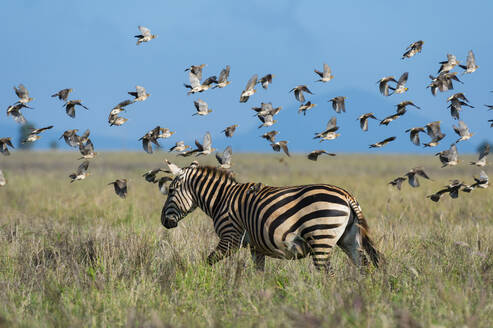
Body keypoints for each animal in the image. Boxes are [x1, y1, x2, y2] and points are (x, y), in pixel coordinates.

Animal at [161, 161, 380, 272]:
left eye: (171, 190)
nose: (163, 222)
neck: (222, 199)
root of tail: (347, 195)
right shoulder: (256, 246)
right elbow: (259, 273)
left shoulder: (230, 238)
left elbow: (208, 260)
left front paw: (200, 279)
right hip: (349, 239)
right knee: (364, 267)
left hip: (321, 238)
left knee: (327, 273)